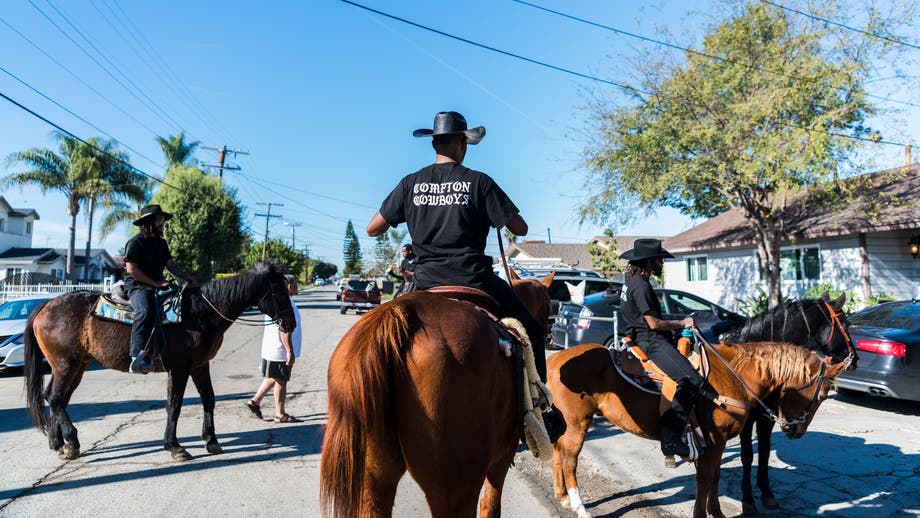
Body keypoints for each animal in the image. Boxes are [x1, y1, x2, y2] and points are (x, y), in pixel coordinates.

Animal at [22, 264, 294, 464]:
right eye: (280, 292)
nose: (290, 324)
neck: (199, 313)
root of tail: (46, 304)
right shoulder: (180, 368)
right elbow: (174, 405)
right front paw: (175, 447)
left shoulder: (200, 365)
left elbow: (209, 399)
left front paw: (211, 441)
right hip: (65, 364)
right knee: (56, 397)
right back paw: (72, 443)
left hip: (77, 365)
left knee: (55, 398)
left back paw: (58, 443)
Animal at [320, 274, 552, 516]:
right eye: (549, 304)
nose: (549, 333)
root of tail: (401, 313)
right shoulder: (502, 458)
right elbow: (490, 506)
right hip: (456, 488)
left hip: (372, 481)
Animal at [548, 342, 848, 518]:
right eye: (823, 395)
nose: (796, 431)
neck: (735, 375)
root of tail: (554, 360)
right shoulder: (711, 441)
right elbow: (704, 481)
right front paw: (703, 514)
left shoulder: (718, 443)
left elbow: (714, 477)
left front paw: (716, 513)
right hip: (577, 424)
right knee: (569, 460)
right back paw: (579, 506)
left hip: (566, 426)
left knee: (557, 454)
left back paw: (562, 498)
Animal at [720, 294, 856, 512]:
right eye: (846, 324)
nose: (855, 358)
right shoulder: (746, 422)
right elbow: (747, 455)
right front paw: (748, 498)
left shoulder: (766, 418)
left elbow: (764, 452)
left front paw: (767, 492)